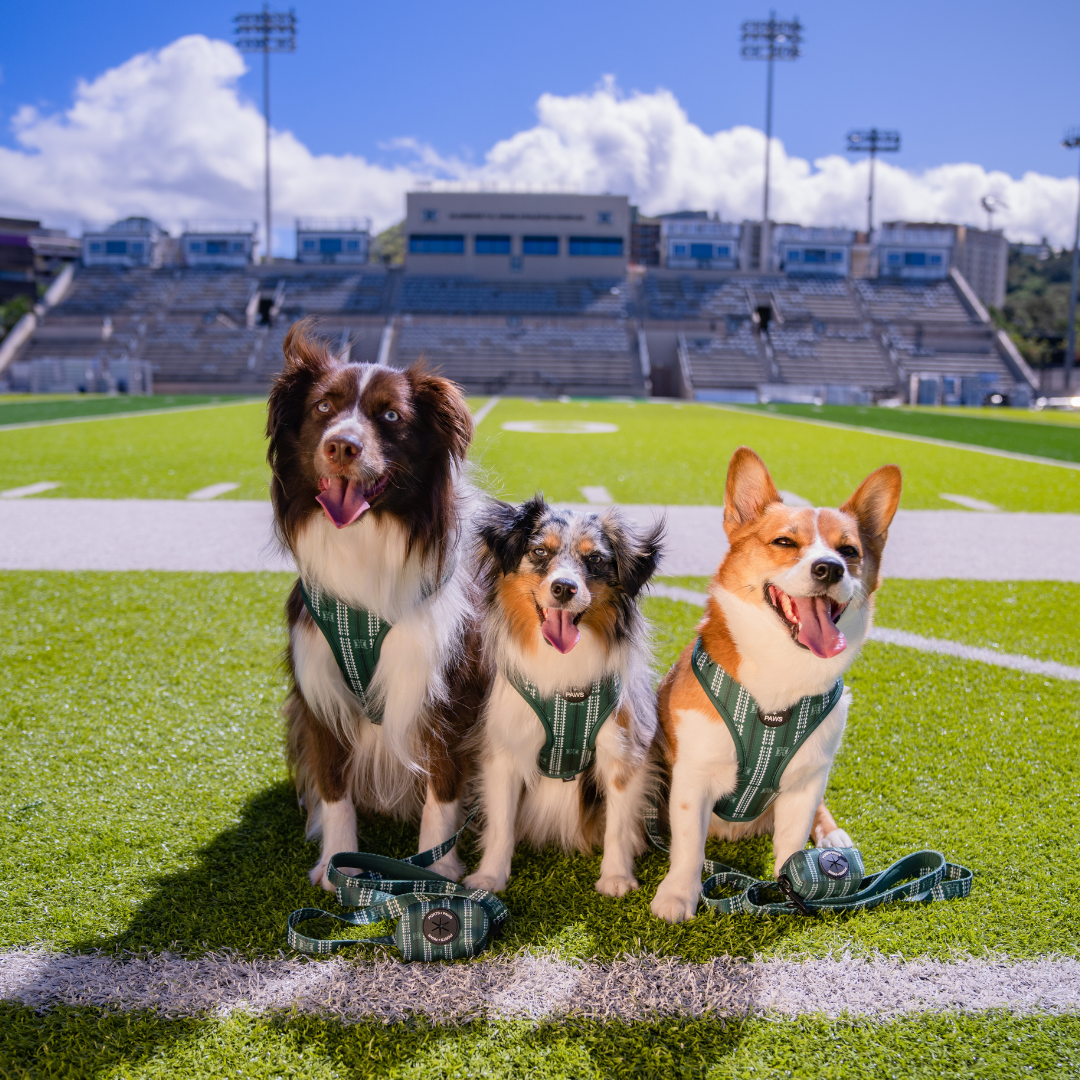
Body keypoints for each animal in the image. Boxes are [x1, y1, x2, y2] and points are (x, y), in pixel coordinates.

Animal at [267, 326, 488, 885]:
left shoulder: (443, 691)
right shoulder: (318, 691)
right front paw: (336, 865)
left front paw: (439, 869)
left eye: (390, 416)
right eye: (324, 406)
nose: (342, 445)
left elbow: (441, 791)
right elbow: (333, 788)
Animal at [460, 494, 660, 894]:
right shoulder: (504, 750)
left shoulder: (623, 750)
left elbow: (618, 826)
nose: (564, 588)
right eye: (539, 552)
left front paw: (616, 877)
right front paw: (490, 877)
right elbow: (501, 824)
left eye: (595, 559)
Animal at [648, 444, 902, 920]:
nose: (830, 569)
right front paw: (677, 895)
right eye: (785, 542)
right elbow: (689, 846)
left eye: (849, 550)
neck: (783, 669)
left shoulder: (804, 782)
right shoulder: (692, 775)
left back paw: (833, 836)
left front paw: (795, 889)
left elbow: (791, 844)